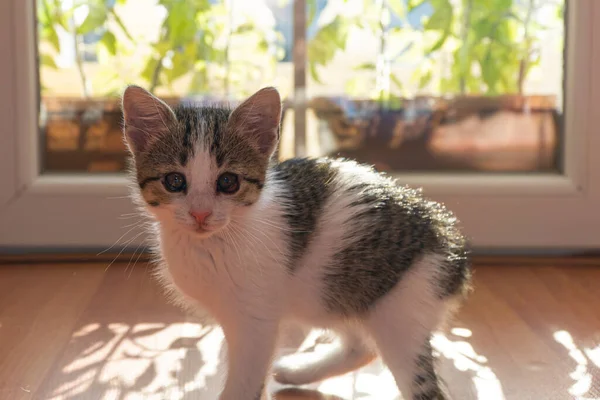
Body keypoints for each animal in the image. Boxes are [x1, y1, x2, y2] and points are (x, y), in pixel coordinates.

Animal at [122, 85, 474, 400]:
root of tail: (448, 238)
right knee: (361, 346)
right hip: (333, 295)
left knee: (421, 385)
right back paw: (298, 371)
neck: (210, 244)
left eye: (228, 182)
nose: (200, 213)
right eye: (174, 181)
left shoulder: (256, 323)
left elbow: (245, 381)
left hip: (401, 304)